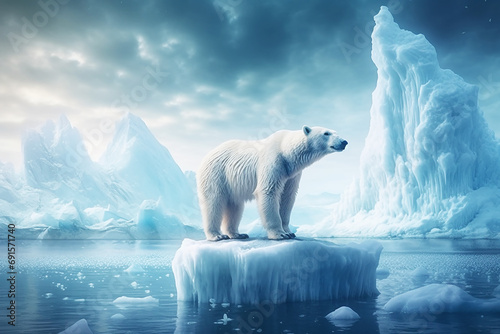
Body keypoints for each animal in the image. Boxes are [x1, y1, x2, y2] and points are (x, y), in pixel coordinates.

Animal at [197, 126, 346, 240]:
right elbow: (269, 191)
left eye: (336, 132)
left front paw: (290, 232)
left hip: (231, 183)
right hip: (216, 174)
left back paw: (238, 234)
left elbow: (287, 197)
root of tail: (208, 154)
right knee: (213, 202)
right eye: (326, 133)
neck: (286, 152)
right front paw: (280, 234)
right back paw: (217, 235)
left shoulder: (291, 174)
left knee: (235, 206)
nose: (344, 142)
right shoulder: (274, 162)